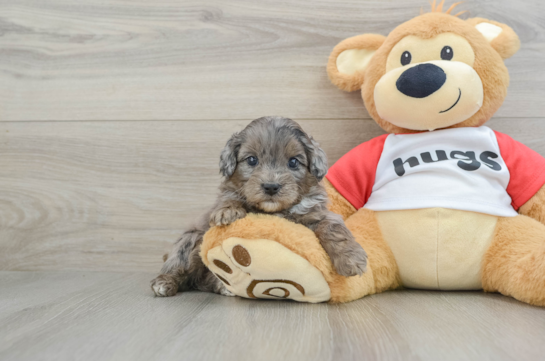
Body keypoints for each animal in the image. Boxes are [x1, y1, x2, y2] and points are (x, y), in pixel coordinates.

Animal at [151, 115, 368, 296]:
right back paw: (164, 283)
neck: (274, 210)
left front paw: (351, 259)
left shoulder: (318, 213)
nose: (271, 186)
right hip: (190, 241)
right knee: (177, 265)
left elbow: (333, 229)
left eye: (293, 162)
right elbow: (229, 198)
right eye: (252, 160)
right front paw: (228, 210)